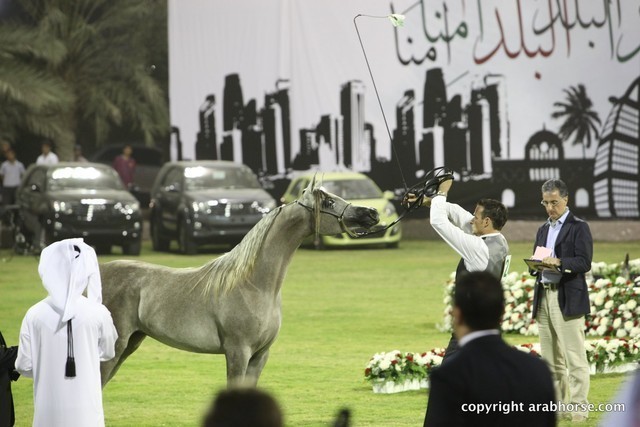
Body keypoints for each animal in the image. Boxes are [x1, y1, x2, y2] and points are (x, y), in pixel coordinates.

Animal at [99, 177, 380, 387]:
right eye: (329, 201)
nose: (372, 213)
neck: (255, 285)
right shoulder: (238, 352)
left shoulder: (259, 356)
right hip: (115, 347)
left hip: (131, 343)